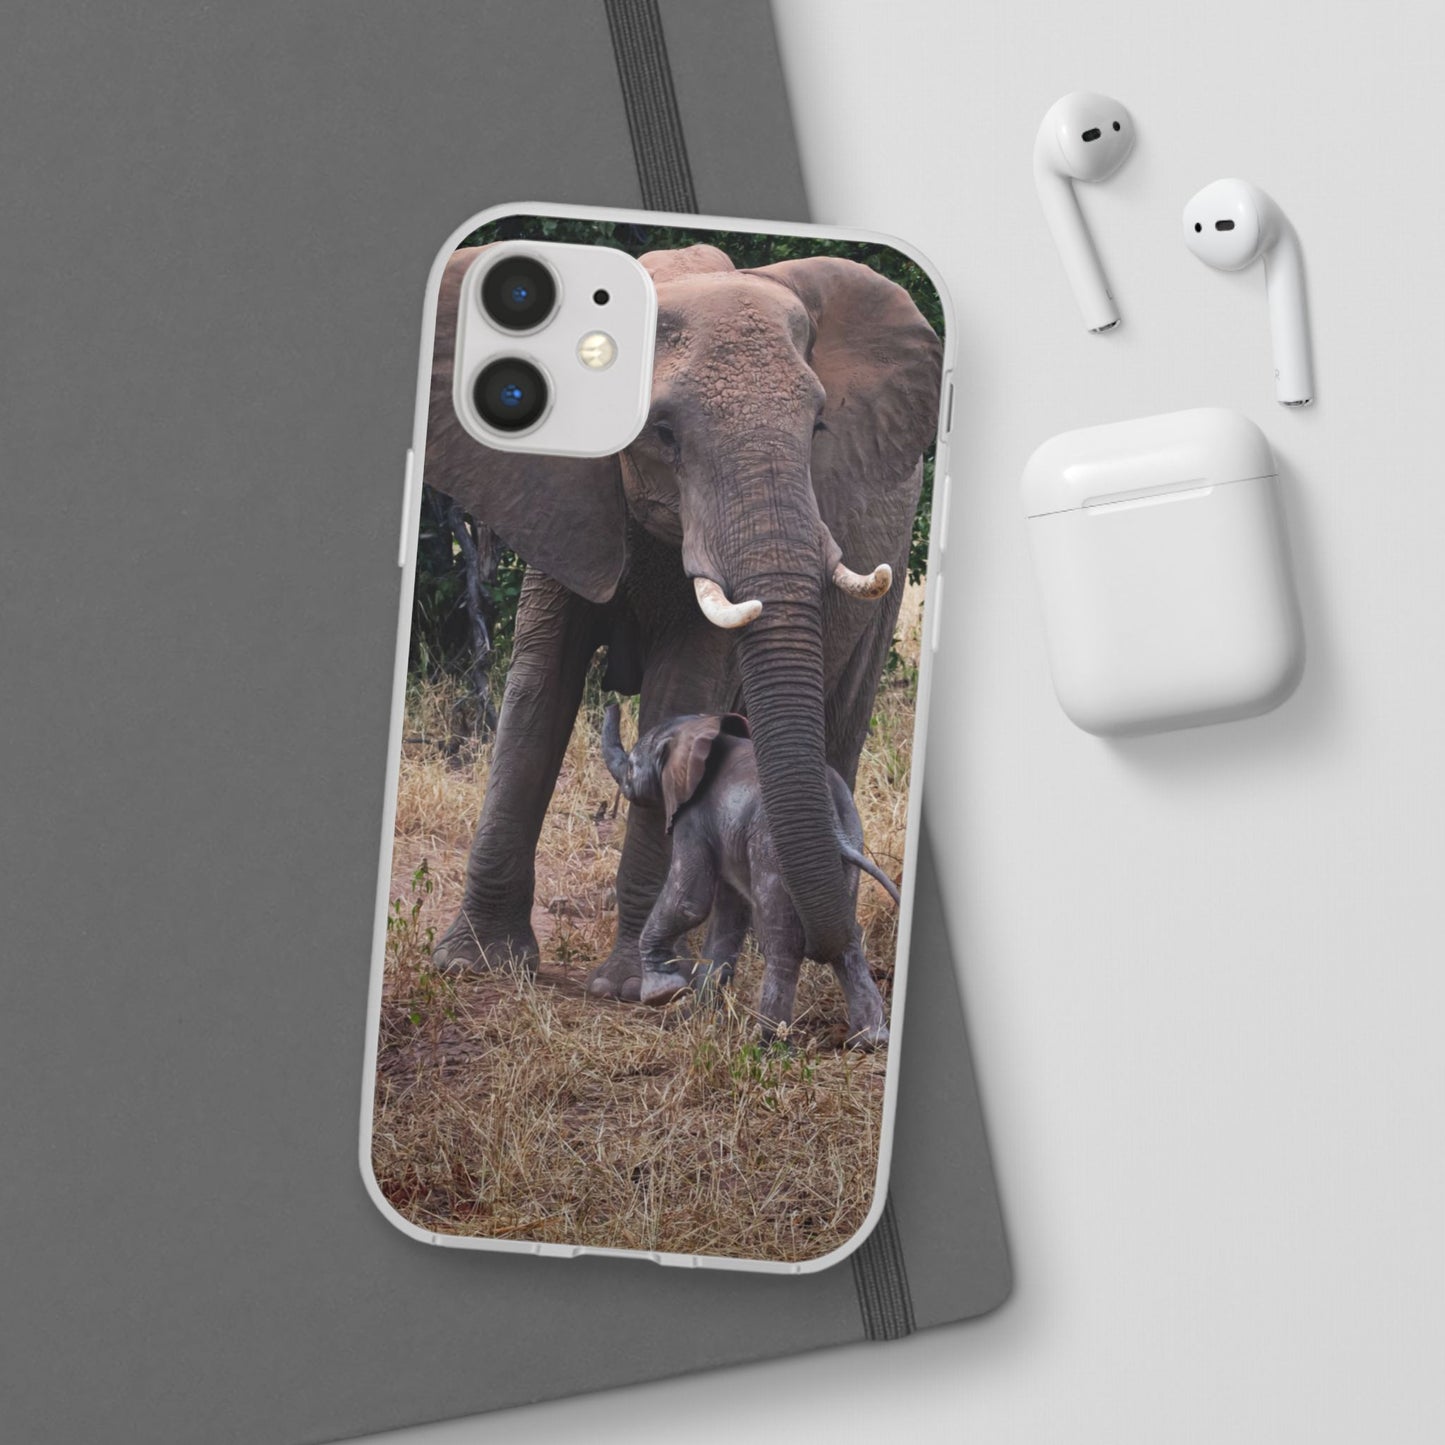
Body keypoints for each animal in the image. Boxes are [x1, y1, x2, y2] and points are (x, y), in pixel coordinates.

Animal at [423, 239, 943, 1000]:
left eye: (818, 426)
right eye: (661, 433)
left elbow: (683, 689)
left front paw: (637, 986)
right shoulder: (558, 496)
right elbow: (537, 691)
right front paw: (473, 964)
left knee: (840, 722)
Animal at [600, 704, 898, 1047]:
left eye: (632, 767)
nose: (612, 704)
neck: (701, 729)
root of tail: (833, 821)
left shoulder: (693, 817)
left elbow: (689, 902)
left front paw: (662, 992)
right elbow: (729, 914)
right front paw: (698, 1017)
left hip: (771, 848)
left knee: (782, 942)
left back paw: (770, 1041)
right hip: (850, 838)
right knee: (847, 938)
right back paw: (869, 1040)